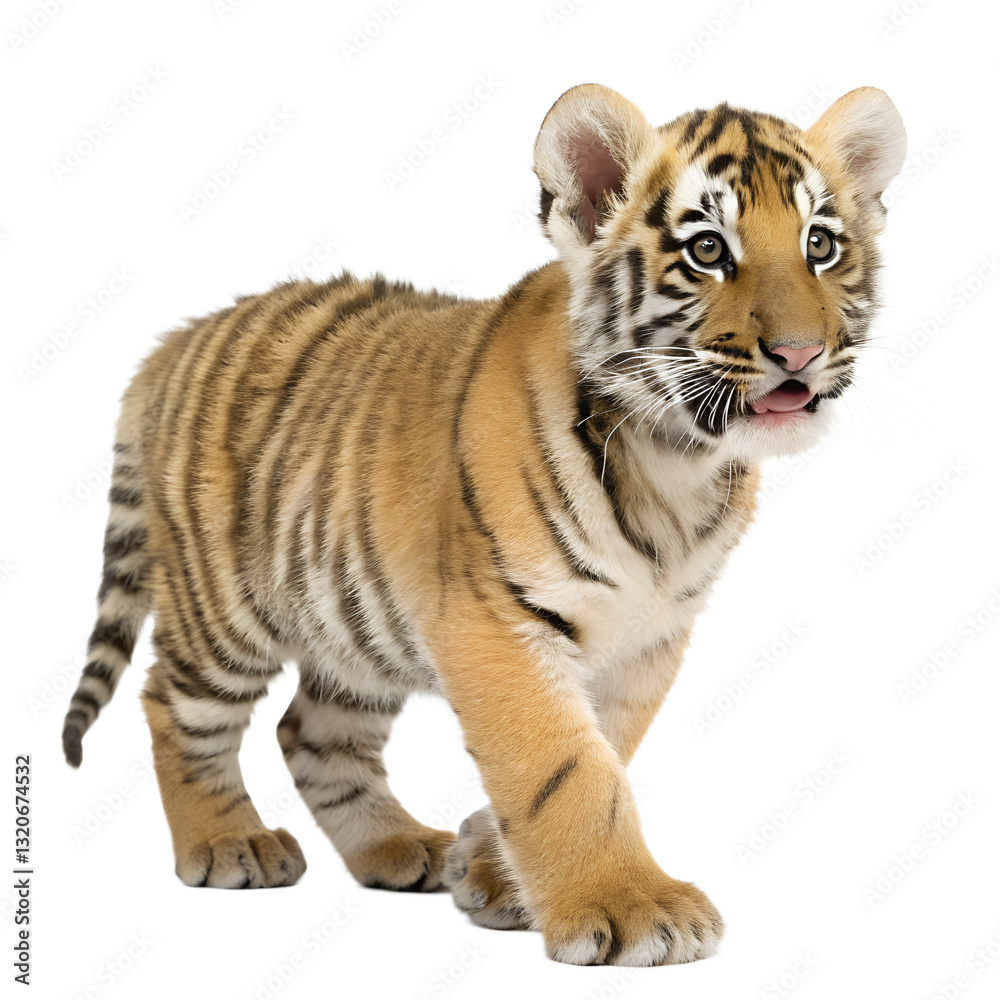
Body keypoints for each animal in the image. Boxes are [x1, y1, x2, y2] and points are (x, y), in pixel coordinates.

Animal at [62, 83, 905, 967]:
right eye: (707, 249)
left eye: (820, 245)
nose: (801, 353)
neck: (676, 463)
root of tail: (172, 341)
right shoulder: (497, 623)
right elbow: (563, 768)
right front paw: (633, 909)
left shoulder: (647, 639)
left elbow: (605, 749)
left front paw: (496, 876)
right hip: (224, 608)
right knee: (172, 704)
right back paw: (229, 843)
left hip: (352, 630)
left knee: (312, 733)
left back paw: (398, 847)